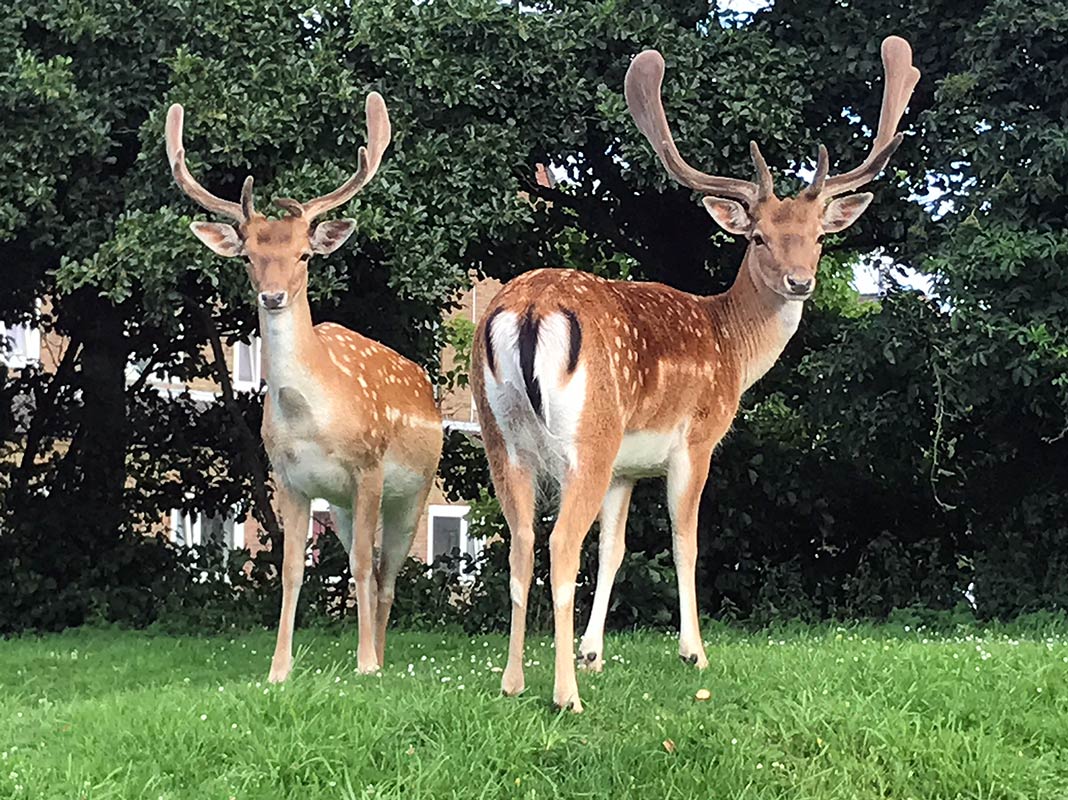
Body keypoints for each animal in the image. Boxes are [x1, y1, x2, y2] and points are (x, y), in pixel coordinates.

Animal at [164, 93, 440, 679]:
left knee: (386, 572)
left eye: (305, 254)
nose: (272, 296)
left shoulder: (368, 466)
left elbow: (360, 566)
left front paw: (365, 665)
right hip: (340, 504)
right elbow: (291, 569)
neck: (309, 416)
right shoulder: (288, 480)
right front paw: (279, 669)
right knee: (373, 567)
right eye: (248, 256)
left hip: (413, 490)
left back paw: (381, 657)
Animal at [472, 37, 922, 713]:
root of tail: (527, 309)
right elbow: (685, 540)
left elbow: (616, 549)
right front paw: (693, 652)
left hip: (502, 440)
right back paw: (564, 694)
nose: (800, 281)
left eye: (817, 237)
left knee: (521, 544)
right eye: (758, 238)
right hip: (588, 435)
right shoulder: (697, 438)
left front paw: (595, 652)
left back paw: (513, 681)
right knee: (558, 545)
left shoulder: (627, 467)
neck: (732, 346)